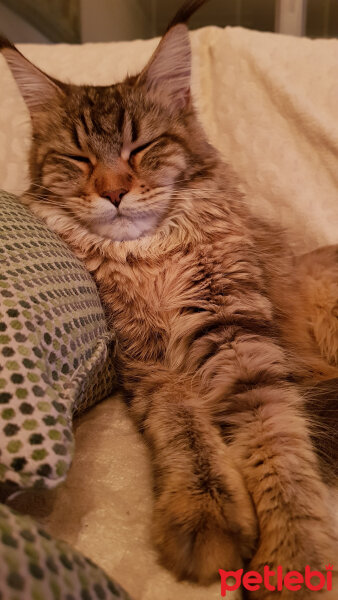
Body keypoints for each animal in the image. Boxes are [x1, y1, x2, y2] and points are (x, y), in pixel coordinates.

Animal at [0, 1, 338, 596]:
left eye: (141, 147)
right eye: (77, 158)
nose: (113, 192)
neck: (151, 259)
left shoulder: (241, 340)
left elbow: (280, 444)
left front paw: (293, 557)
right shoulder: (150, 365)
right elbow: (187, 434)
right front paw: (206, 512)